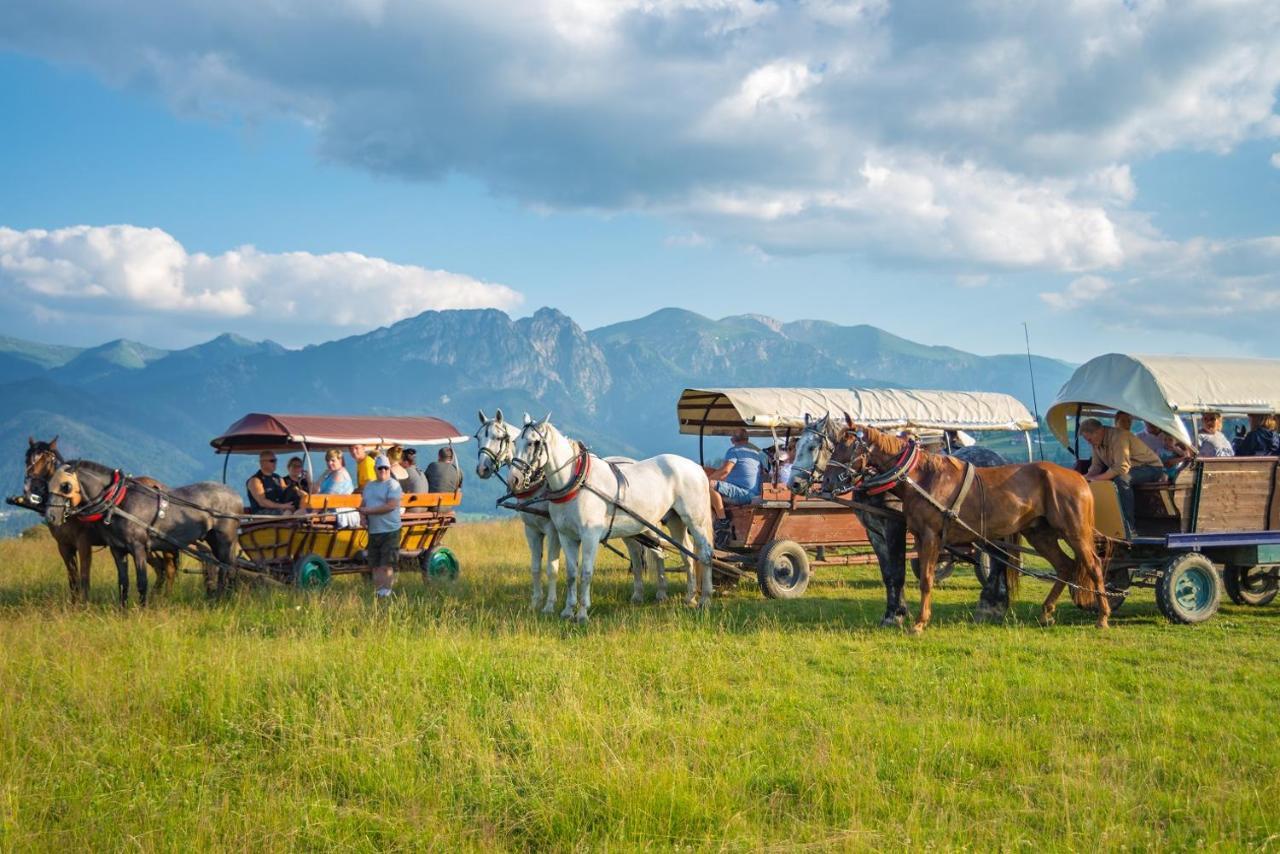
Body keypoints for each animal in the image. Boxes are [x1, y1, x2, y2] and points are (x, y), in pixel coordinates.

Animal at [20, 440, 186, 601]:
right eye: (27, 459)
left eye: (48, 459)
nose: (33, 487)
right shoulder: (64, 546)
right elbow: (73, 579)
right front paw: (73, 605)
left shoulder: (84, 544)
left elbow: (85, 577)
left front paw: (84, 605)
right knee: (161, 567)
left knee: (169, 568)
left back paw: (165, 597)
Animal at [46, 460, 241, 606]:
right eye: (48, 485)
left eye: (65, 486)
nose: (50, 516)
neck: (119, 502)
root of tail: (236, 495)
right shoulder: (117, 550)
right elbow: (123, 582)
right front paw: (122, 611)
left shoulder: (138, 547)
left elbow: (142, 581)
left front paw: (142, 609)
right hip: (213, 540)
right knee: (220, 566)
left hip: (225, 540)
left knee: (228, 569)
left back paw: (224, 600)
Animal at [473, 409, 670, 612]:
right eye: (478, 437)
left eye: (499, 438)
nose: (482, 469)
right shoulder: (532, 530)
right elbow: (535, 567)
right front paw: (535, 603)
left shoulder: (553, 530)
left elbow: (552, 568)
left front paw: (549, 605)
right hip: (630, 529)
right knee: (636, 554)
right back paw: (637, 595)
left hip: (648, 525)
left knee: (658, 553)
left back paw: (661, 593)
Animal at [504, 414, 716, 622]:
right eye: (514, 441)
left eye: (533, 442)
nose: (514, 480)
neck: (576, 483)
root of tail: (697, 468)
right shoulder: (566, 536)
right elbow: (571, 574)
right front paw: (567, 610)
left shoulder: (589, 536)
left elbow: (586, 573)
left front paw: (582, 613)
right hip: (674, 520)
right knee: (686, 553)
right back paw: (690, 597)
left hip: (694, 520)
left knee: (704, 553)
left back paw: (705, 599)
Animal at [783, 417, 1105, 632]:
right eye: (797, 445)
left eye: (816, 446)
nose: (795, 483)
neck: (917, 476)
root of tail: (1077, 478)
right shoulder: (882, 531)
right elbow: (891, 575)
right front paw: (893, 614)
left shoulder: (912, 532)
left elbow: (913, 576)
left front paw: (909, 620)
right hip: (1037, 533)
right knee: (1062, 566)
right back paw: (1039, 612)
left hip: (1072, 532)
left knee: (1089, 565)